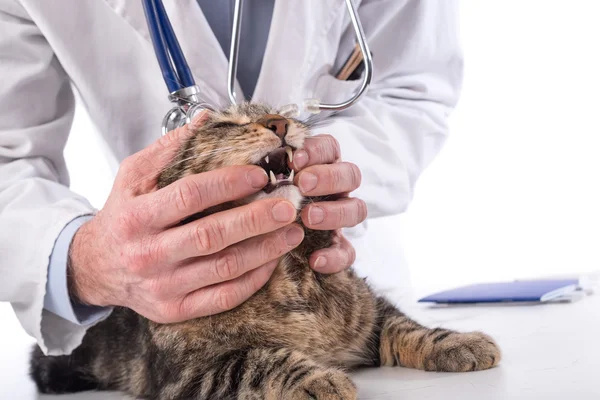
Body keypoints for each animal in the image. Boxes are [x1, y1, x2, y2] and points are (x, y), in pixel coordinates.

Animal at [29, 104, 502, 400]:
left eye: (281, 112)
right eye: (224, 124)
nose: (278, 124)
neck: (287, 272)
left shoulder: (370, 312)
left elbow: (408, 327)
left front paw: (458, 341)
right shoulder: (189, 375)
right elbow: (261, 359)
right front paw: (318, 378)